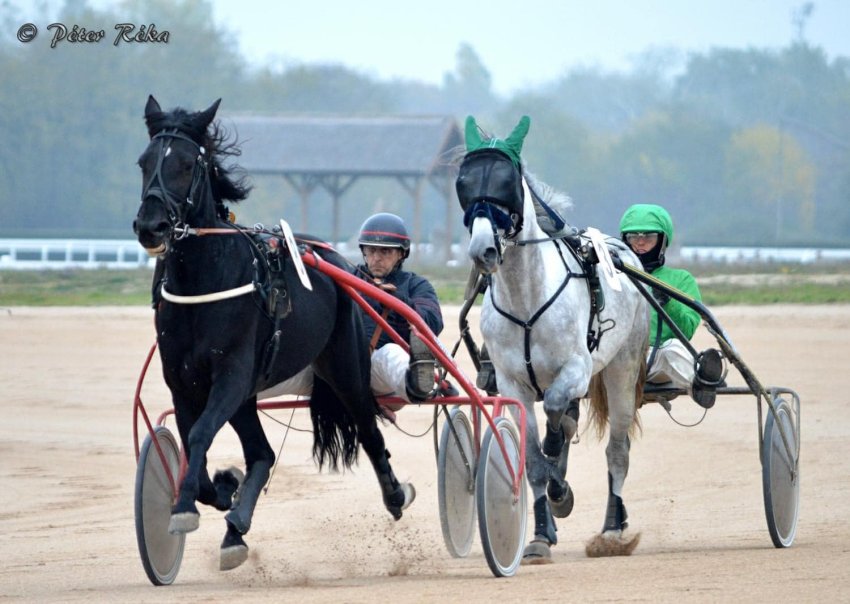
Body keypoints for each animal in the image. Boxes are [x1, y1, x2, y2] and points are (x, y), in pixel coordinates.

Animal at [132, 95, 414, 572]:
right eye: (144, 161)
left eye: (187, 164)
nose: (151, 226)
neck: (203, 282)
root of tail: (330, 256)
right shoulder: (183, 382)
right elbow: (195, 448)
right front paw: (221, 489)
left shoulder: (231, 374)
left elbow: (200, 435)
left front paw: (186, 508)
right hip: (249, 394)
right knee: (262, 453)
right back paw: (235, 528)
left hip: (344, 365)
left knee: (369, 430)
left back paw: (395, 494)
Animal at [458, 117, 648, 560]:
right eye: (463, 182)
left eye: (507, 181)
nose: (483, 250)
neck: (527, 297)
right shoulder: (513, 384)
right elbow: (532, 459)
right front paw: (541, 534)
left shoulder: (575, 369)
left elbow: (557, 412)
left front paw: (560, 488)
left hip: (622, 368)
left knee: (617, 451)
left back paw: (612, 529)